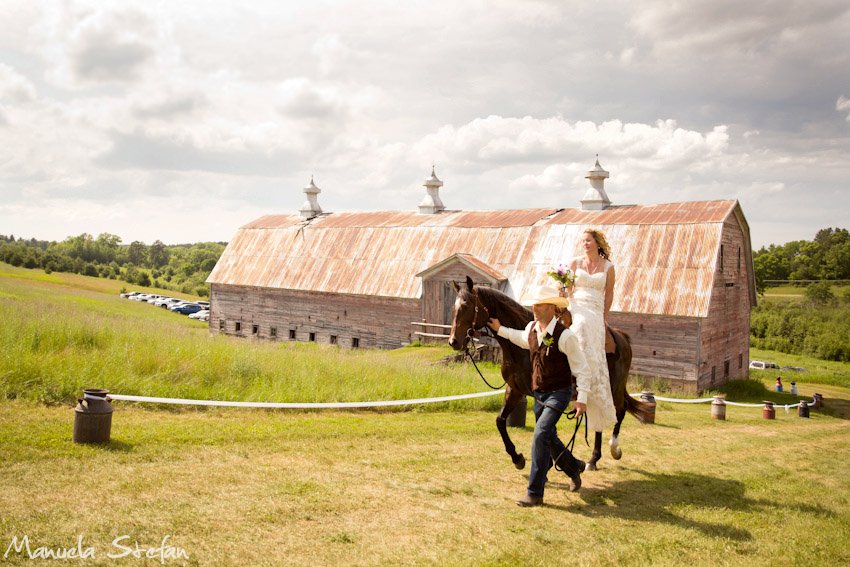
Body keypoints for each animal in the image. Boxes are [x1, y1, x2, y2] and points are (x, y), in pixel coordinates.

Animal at [448, 278, 652, 472]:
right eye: (453, 308)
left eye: (467, 306)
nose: (453, 341)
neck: (520, 348)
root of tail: (621, 338)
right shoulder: (515, 390)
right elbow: (500, 421)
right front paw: (517, 458)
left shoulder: (539, 394)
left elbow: (544, 427)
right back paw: (593, 459)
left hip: (614, 388)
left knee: (621, 410)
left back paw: (613, 449)